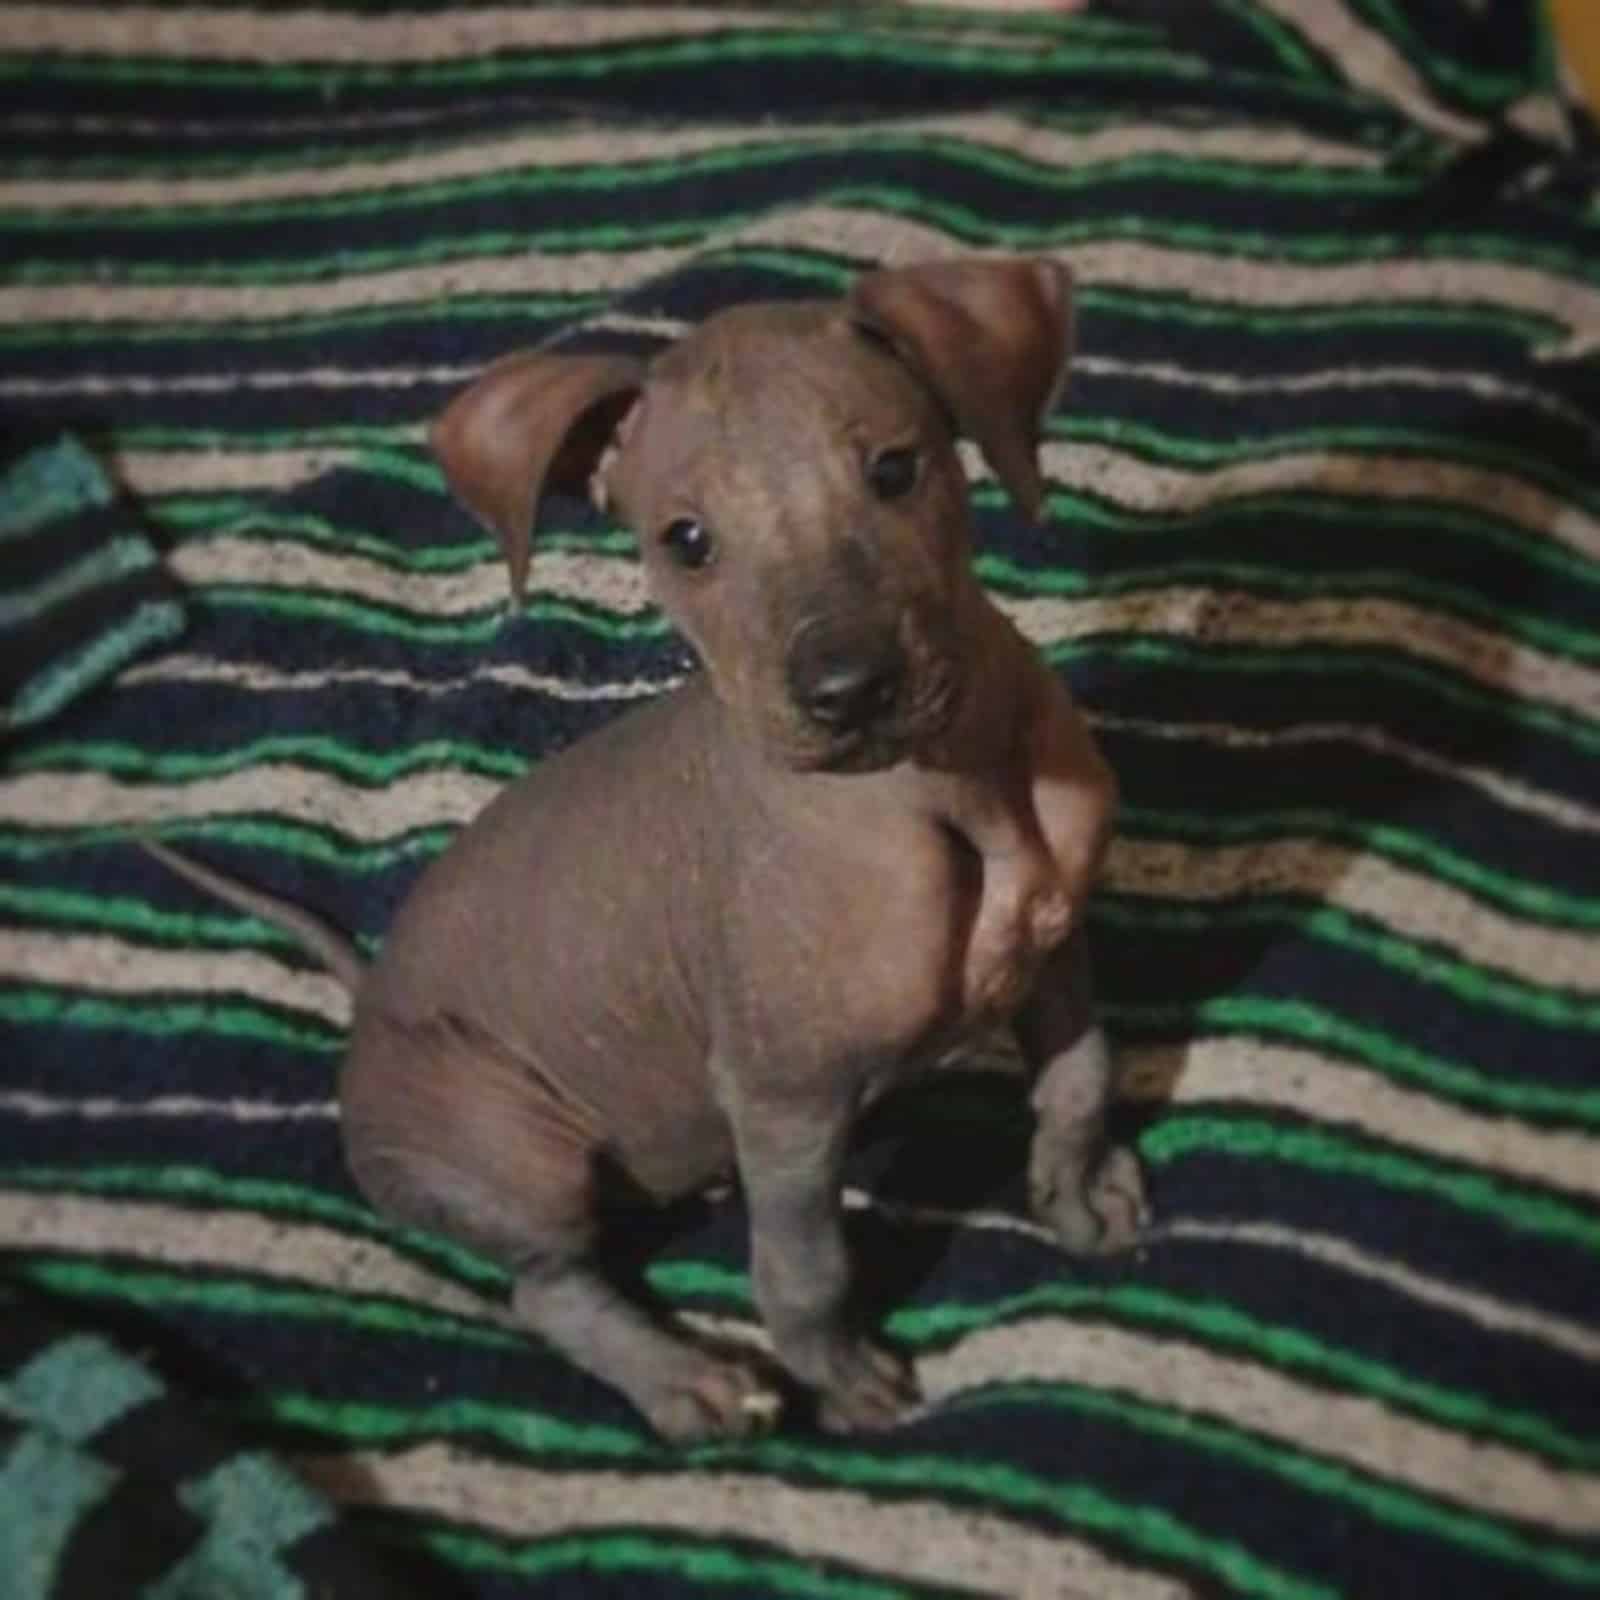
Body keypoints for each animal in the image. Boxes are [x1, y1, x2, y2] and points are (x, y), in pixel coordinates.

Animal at [150, 259, 1145, 1440]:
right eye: (686, 539)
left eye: (895, 469)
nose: (846, 691)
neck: (953, 787)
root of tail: (369, 1005)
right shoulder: (784, 1096)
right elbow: (803, 1266)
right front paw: (838, 1375)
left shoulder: (1059, 943)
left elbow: (1080, 1075)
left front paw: (1077, 1190)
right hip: (515, 1147)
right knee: (545, 1289)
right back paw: (686, 1379)